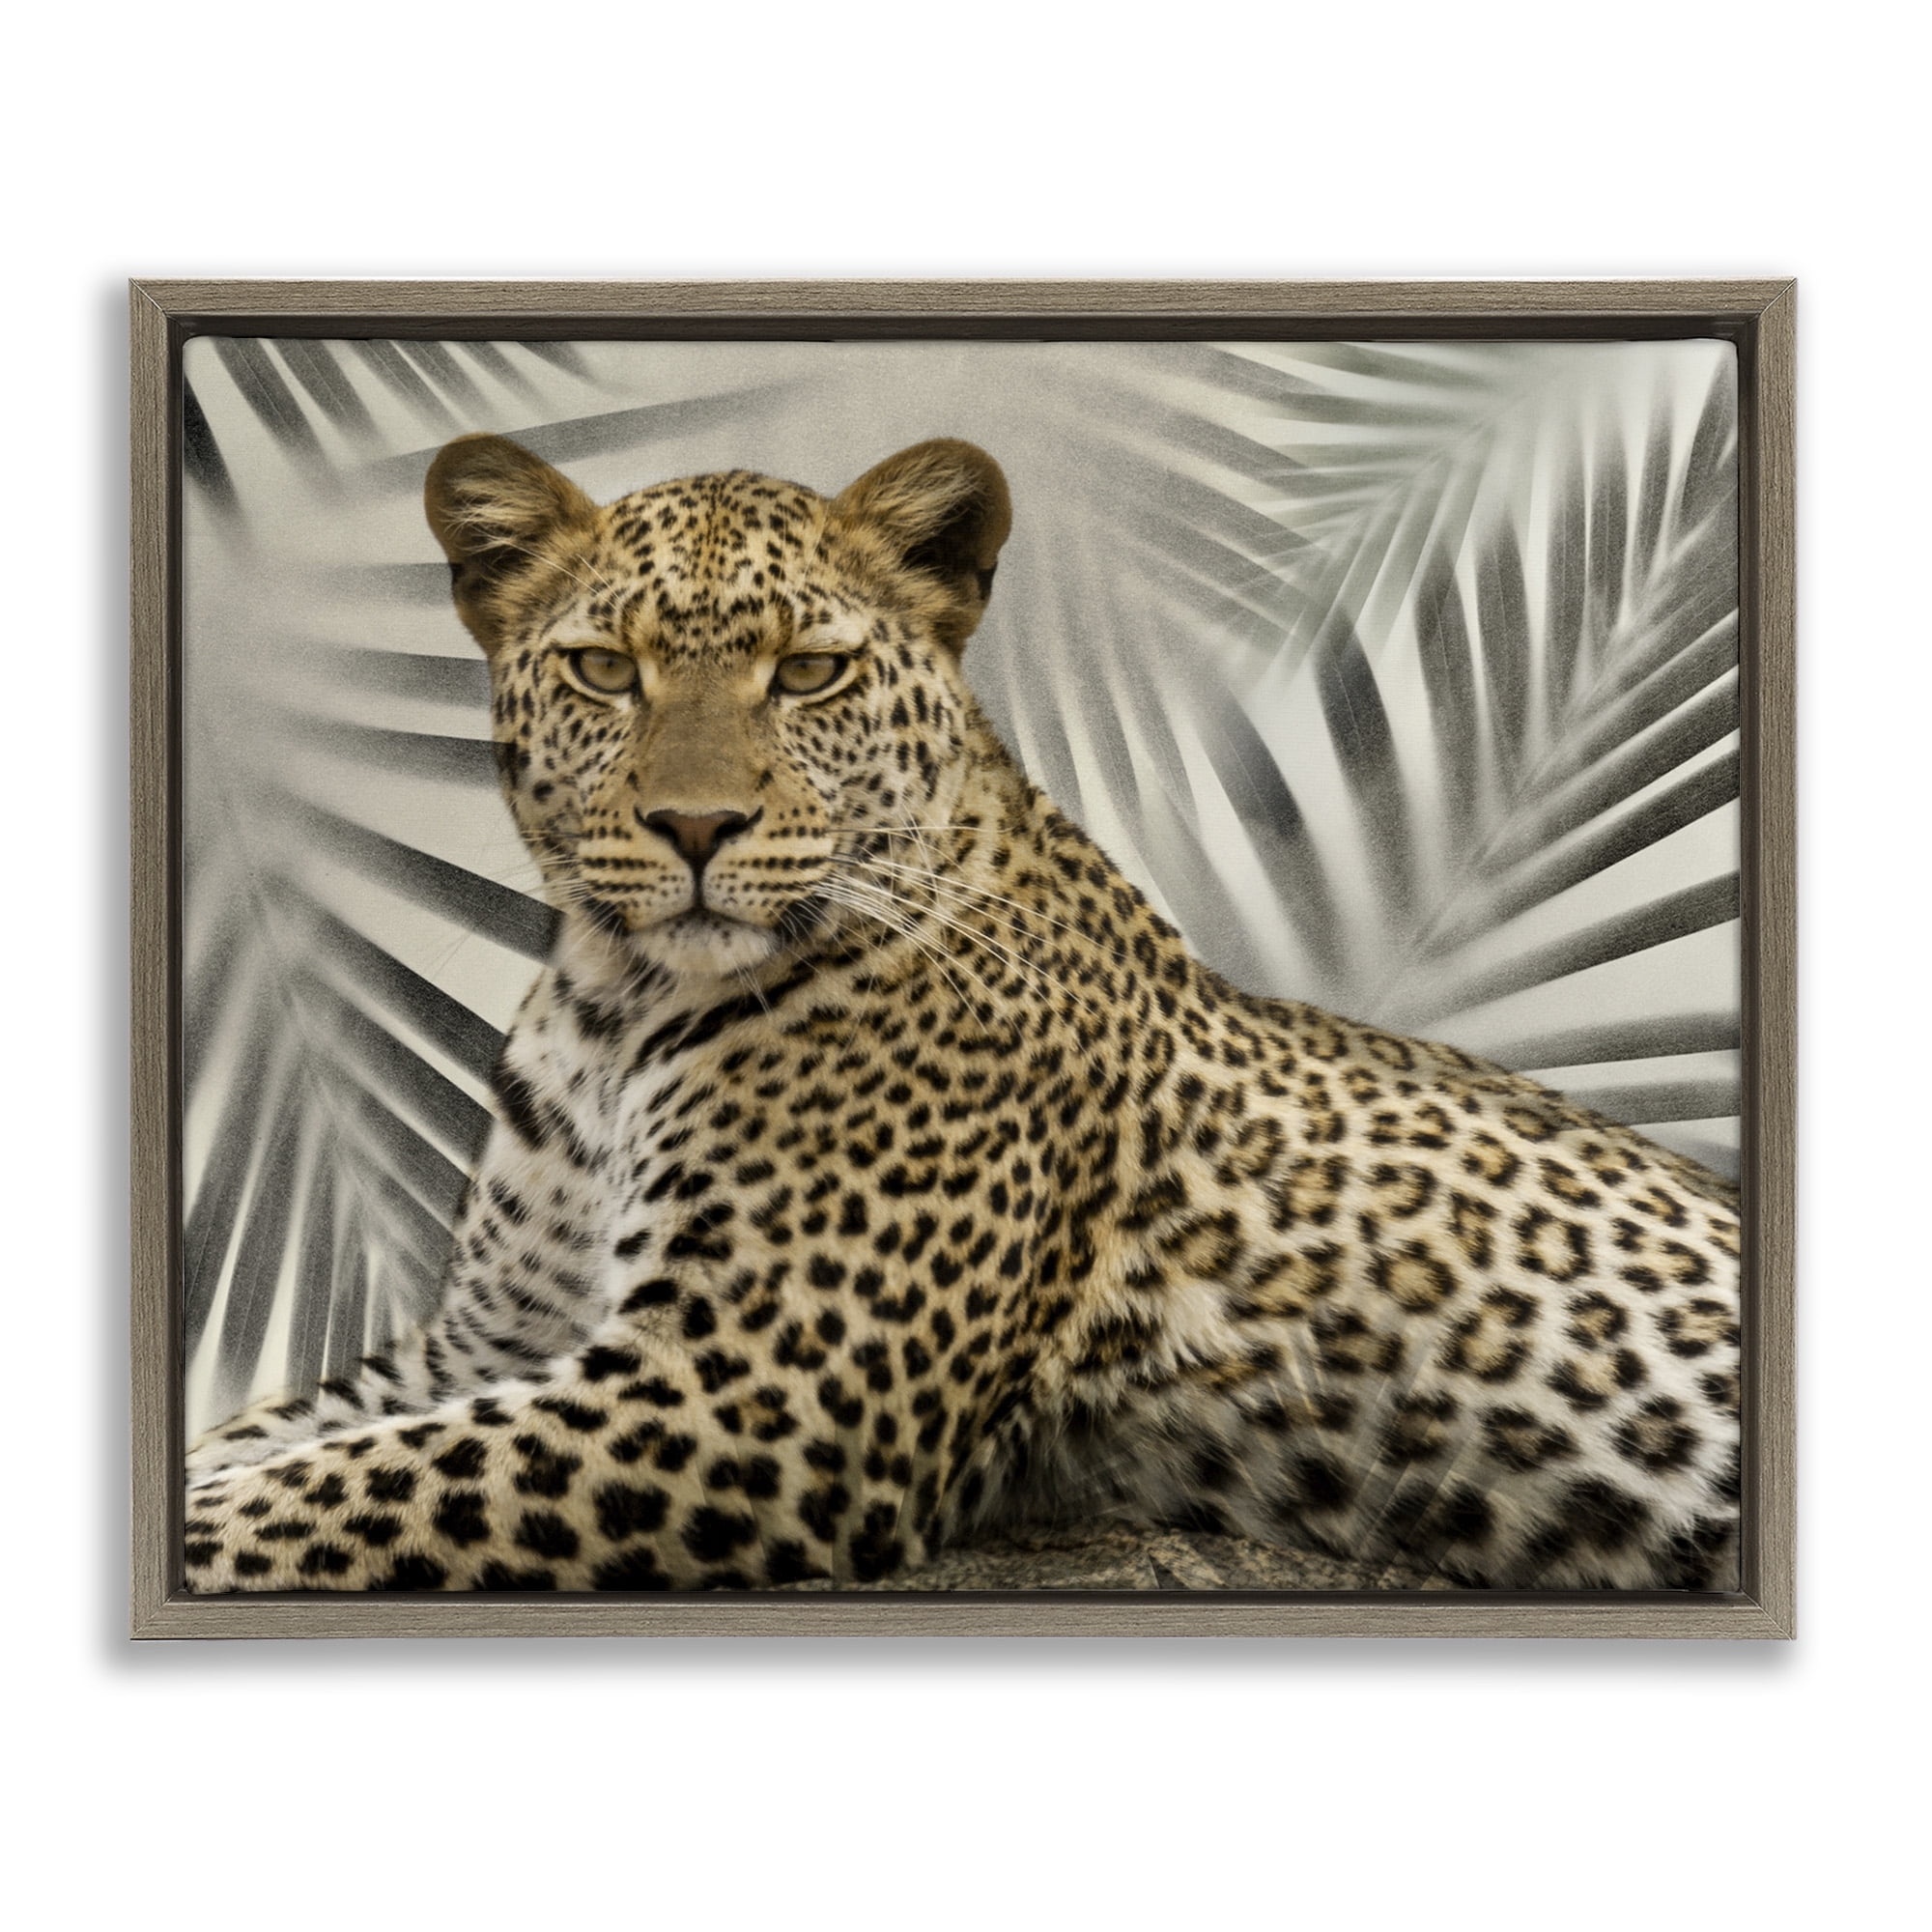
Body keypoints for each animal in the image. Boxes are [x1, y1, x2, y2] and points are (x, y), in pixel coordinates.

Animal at [182, 432, 1744, 1594]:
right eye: (604, 670)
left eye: (808, 671)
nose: (695, 826)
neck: (618, 1008)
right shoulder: (490, 1345)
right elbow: (270, 1439)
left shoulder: (750, 1392)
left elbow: (314, 1493)